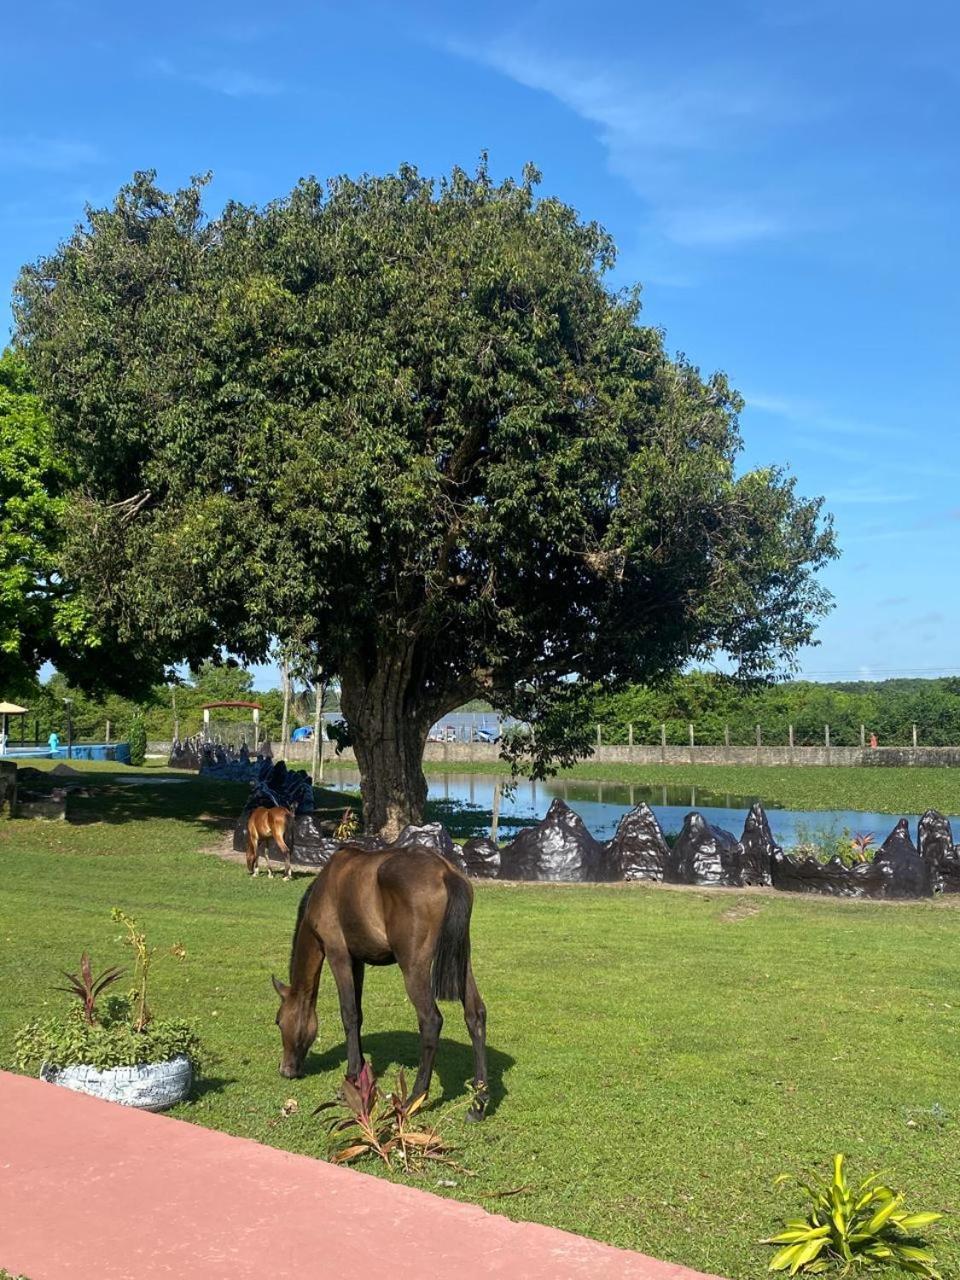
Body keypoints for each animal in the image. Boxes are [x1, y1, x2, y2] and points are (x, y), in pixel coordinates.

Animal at [273, 849, 491, 1121]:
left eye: (279, 1022)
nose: (285, 1070)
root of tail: (445, 872)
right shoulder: (357, 960)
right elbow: (358, 1015)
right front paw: (360, 1074)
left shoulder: (338, 954)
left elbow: (349, 1014)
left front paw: (352, 1078)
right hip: (461, 960)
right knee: (475, 1014)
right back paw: (479, 1102)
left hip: (414, 967)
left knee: (431, 1021)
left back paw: (412, 1100)